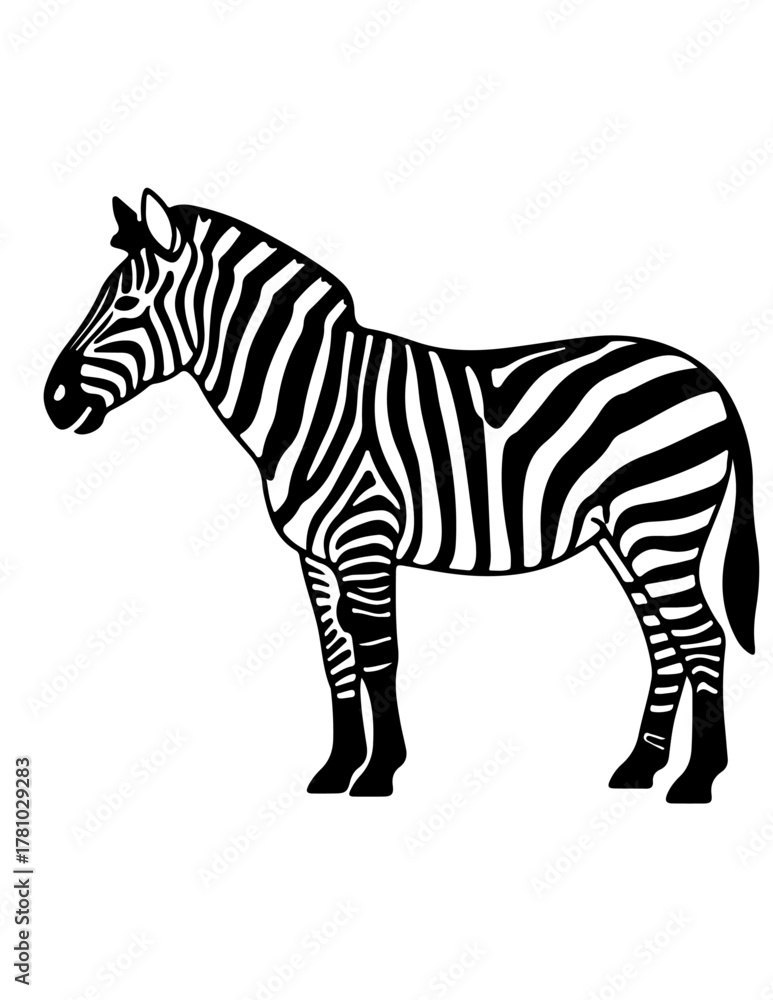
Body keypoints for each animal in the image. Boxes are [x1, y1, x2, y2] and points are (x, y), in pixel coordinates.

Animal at [44, 189, 759, 802]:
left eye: (126, 305)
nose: (53, 401)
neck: (313, 400)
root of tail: (705, 374)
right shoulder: (315, 555)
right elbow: (337, 660)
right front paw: (337, 770)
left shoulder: (366, 537)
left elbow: (378, 653)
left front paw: (380, 772)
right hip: (623, 535)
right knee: (665, 646)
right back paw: (640, 768)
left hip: (659, 524)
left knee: (703, 640)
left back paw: (697, 780)